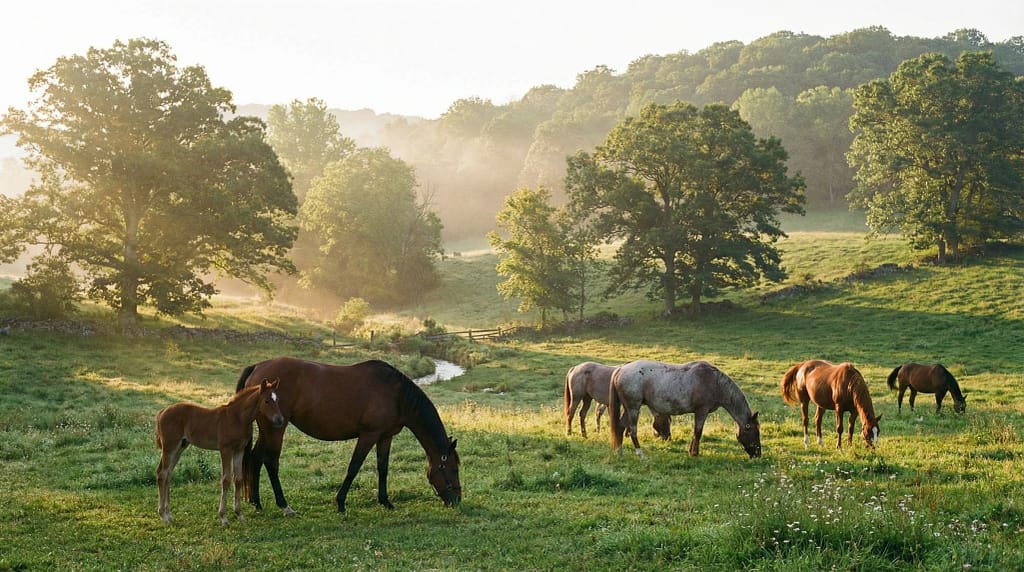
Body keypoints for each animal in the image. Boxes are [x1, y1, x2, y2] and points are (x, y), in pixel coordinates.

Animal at [155, 378, 285, 524]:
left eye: (277, 399)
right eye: (266, 401)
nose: (280, 420)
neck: (237, 418)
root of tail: (162, 411)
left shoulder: (239, 450)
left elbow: (238, 479)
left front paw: (239, 514)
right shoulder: (225, 449)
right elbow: (226, 479)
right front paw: (223, 517)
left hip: (180, 447)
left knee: (168, 474)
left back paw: (168, 514)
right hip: (169, 447)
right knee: (162, 473)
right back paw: (163, 515)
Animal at [236, 357, 461, 515]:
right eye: (452, 468)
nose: (457, 500)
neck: (396, 394)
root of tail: (257, 367)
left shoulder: (385, 437)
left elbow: (383, 468)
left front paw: (385, 501)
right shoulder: (368, 435)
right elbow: (354, 467)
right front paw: (340, 503)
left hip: (267, 430)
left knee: (256, 458)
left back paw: (256, 502)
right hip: (276, 429)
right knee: (271, 462)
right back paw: (284, 505)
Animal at [609, 359, 761, 459]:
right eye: (756, 433)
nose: (758, 454)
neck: (716, 383)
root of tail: (620, 370)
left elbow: (695, 433)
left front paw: (690, 451)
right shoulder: (702, 411)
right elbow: (698, 432)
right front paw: (694, 453)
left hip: (628, 409)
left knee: (620, 427)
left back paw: (619, 452)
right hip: (633, 408)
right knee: (633, 430)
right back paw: (640, 454)